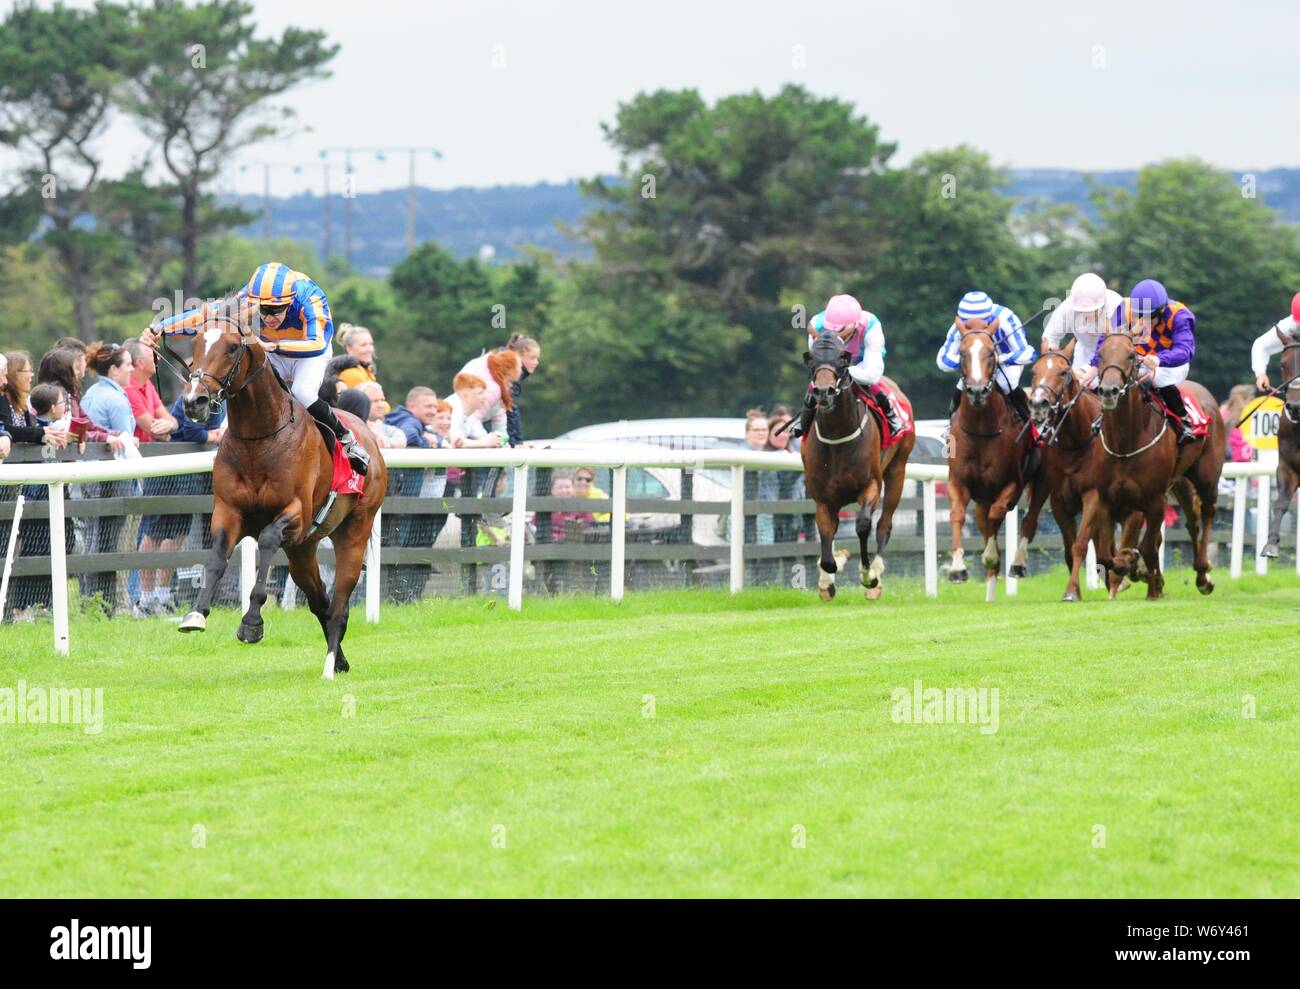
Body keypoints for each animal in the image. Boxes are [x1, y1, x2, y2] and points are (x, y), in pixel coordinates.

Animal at [166, 311, 384, 675]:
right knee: (321, 602)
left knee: (339, 605)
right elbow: (216, 558)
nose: (194, 400)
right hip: (302, 550)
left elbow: (267, 540)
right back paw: (339, 660)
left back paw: (329, 666)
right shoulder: (228, 511)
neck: (259, 440)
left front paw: (252, 622)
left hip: (354, 530)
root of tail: (369, 435)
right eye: (195, 344)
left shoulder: (295, 514)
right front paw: (196, 614)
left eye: (232, 347)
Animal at [800, 327, 915, 597]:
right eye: (810, 359)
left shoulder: (871, 485)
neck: (837, 437)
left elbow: (863, 525)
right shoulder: (823, 498)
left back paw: (877, 573)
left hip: (898, 471)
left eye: (843, 359)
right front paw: (828, 577)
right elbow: (826, 538)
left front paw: (867, 574)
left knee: (884, 525)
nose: (823, 392)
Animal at [946, 323, 1034, 603]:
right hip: (980, 501)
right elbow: (957, 514)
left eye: (991, 353)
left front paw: (990, 555)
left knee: (1030, 520)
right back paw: (990, 595)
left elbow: (998, 514)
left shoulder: (1012, 483)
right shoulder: (958, 482)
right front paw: (957, 568)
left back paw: (1015, 564)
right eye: (962, 353)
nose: (976, 390)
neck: (981, 430)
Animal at [1066, 331, 1216, 597]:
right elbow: (1106, 555)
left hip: (1206, 477)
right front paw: (1132, 565)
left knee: (1206, 513)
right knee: (1191, 520)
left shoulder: (1155, 499)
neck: (1126, 442)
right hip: (1180, 482)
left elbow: (1147, 547)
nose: (1109, 390)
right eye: (1101, 354)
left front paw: (1142, 572)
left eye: (1131, 355)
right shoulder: (1105, 498)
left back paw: (1203, 574)